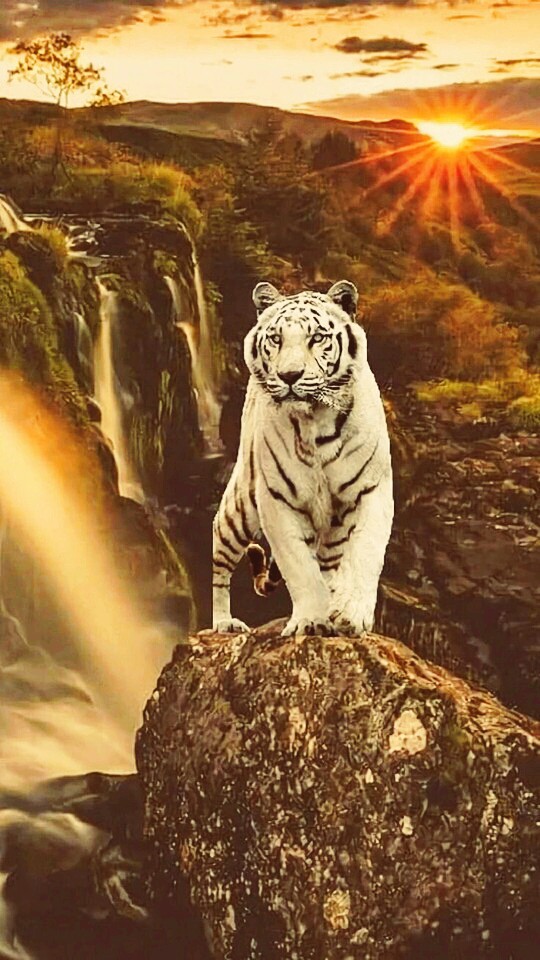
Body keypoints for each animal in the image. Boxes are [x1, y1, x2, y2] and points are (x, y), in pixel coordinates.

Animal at [212, 279, 394, 638]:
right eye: (276, 339)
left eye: (317, 338)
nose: (290, 375)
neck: (316, 422)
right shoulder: (277, 500)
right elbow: (299, 568)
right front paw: (311, 619)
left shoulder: (372, 489)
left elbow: (365, 553)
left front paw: (351, 614)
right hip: (239, 507)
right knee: (219, 562)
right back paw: (224, 622)